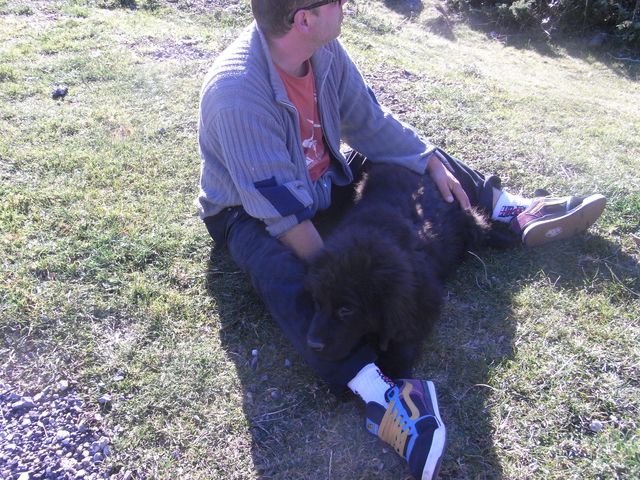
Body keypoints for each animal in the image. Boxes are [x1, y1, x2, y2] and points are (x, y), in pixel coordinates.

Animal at [305, 163, 515, 378]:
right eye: (317, 302)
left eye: (346, 309)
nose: (312, 345)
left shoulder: (422, 299)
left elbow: (403, 335)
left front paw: (395, 367)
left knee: (480, 228)